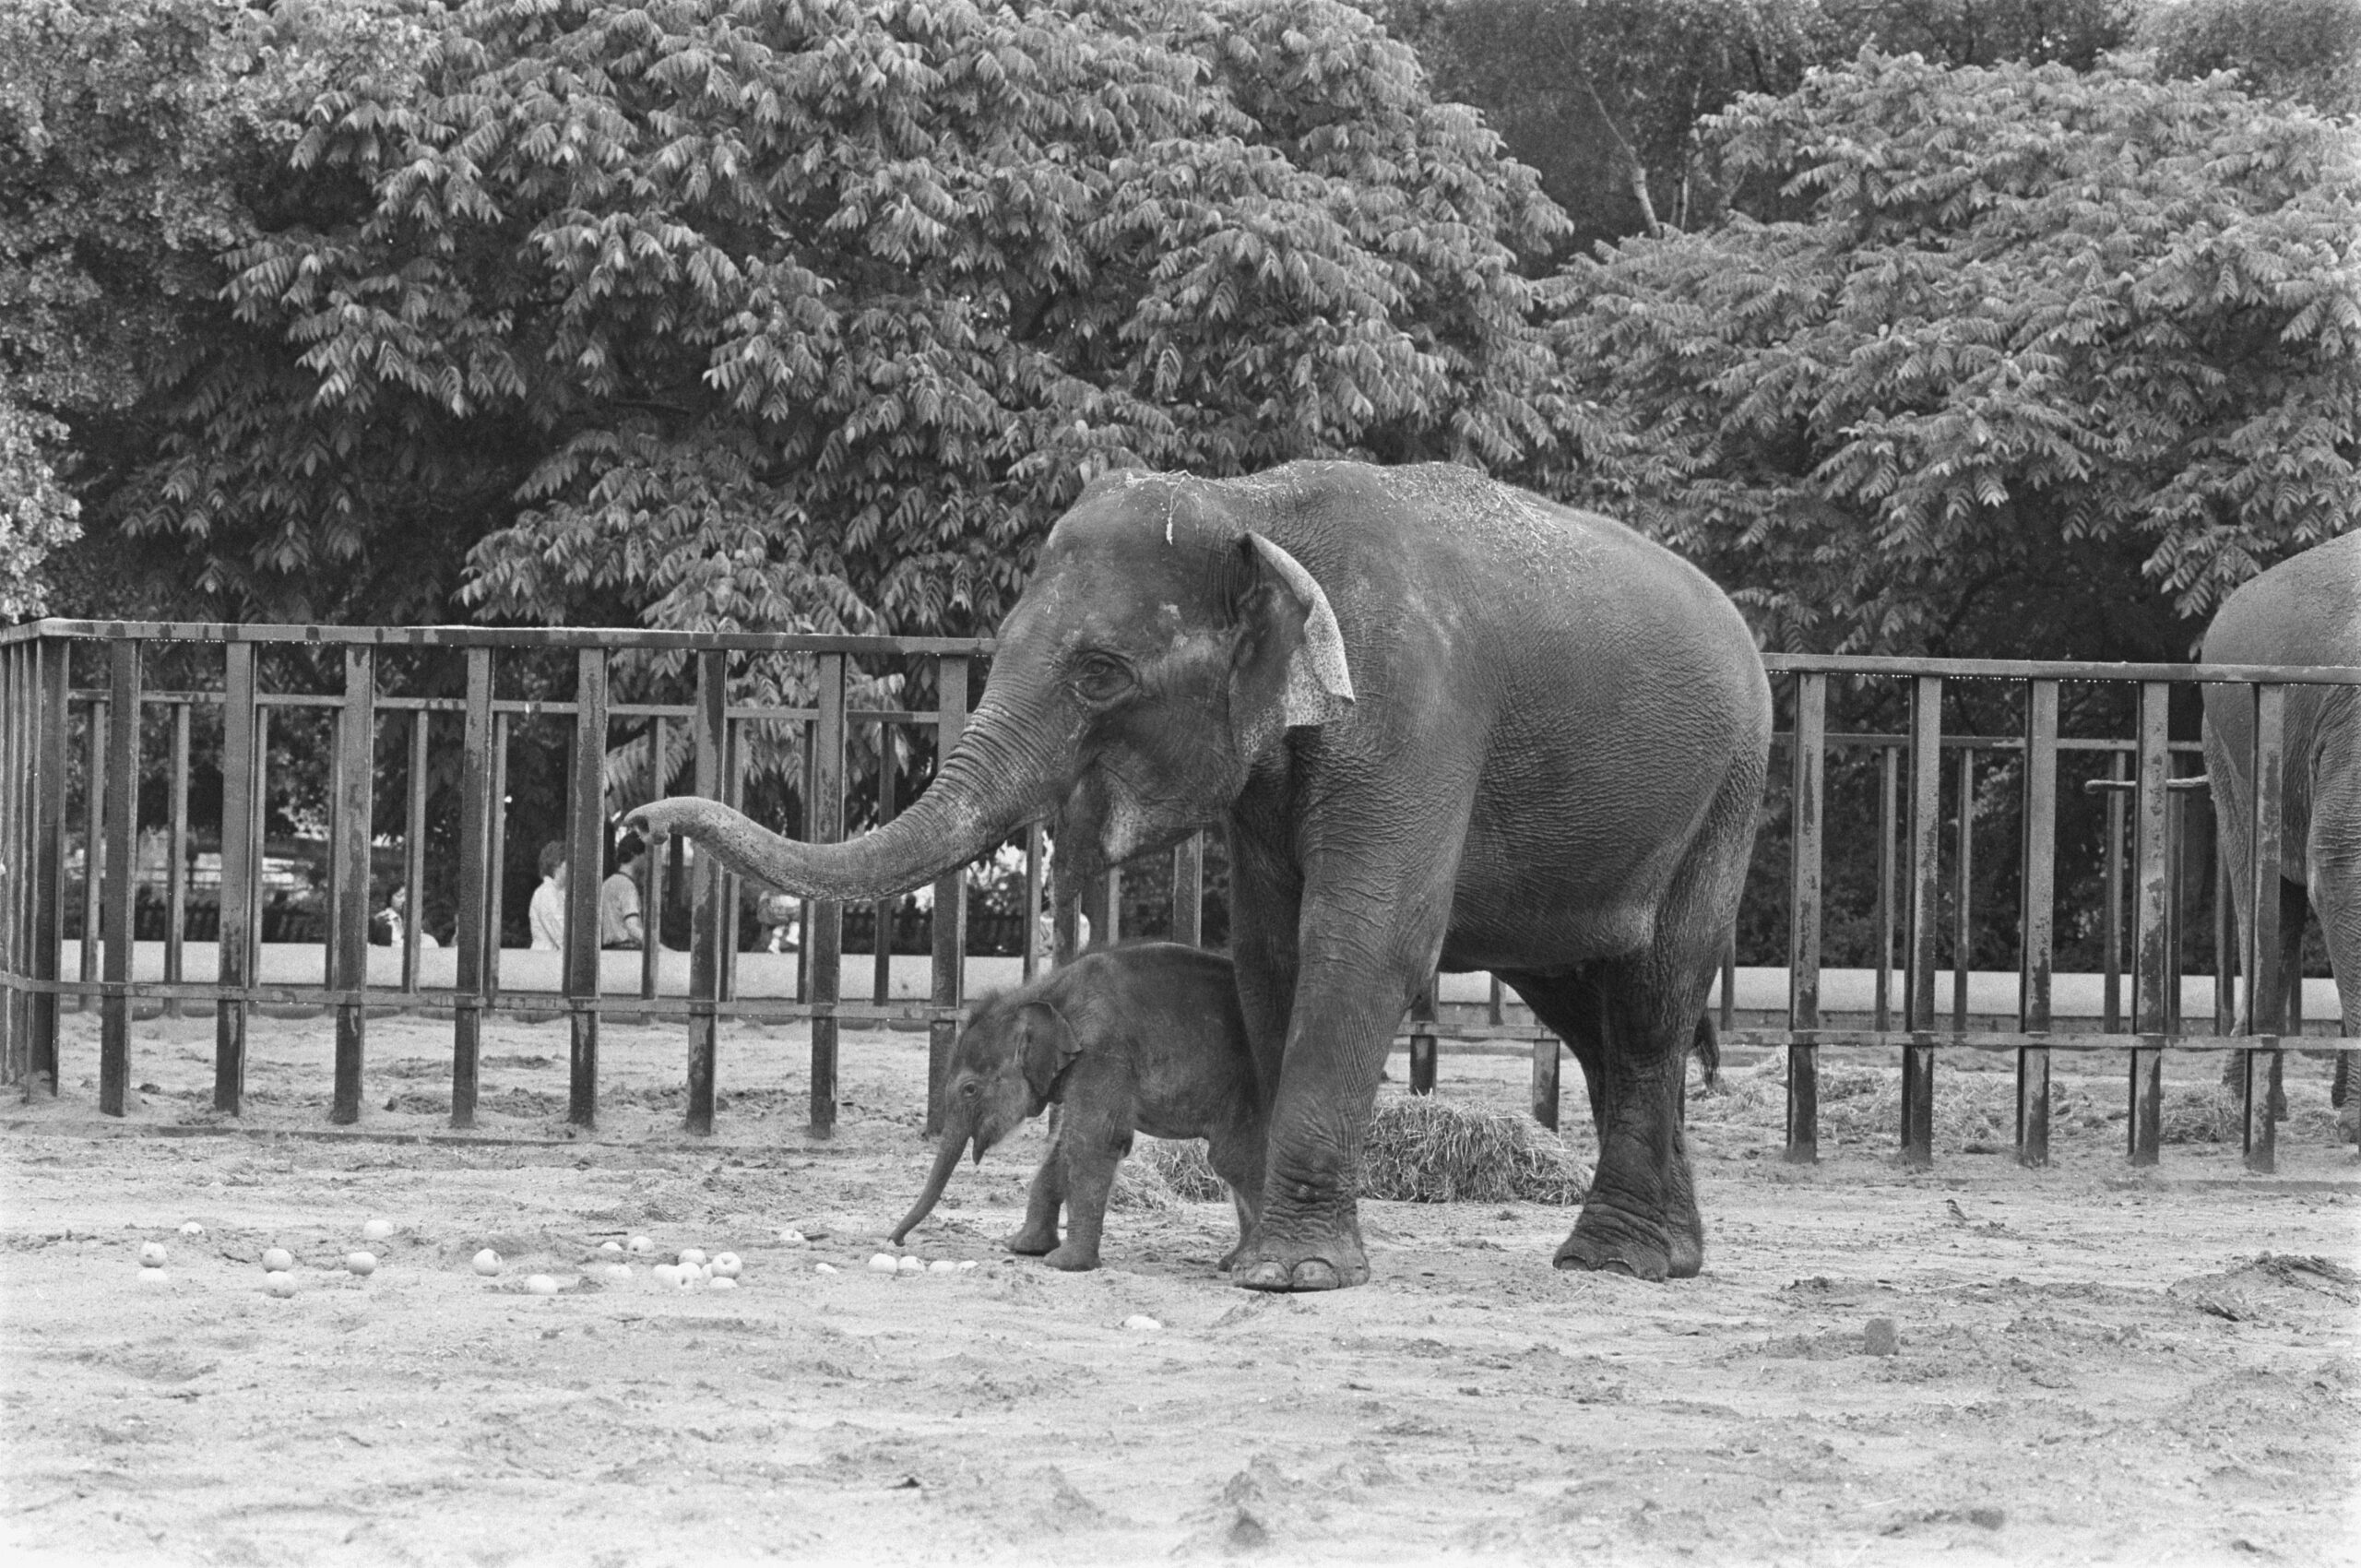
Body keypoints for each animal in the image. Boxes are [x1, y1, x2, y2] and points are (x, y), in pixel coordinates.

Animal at [887, 934, 1265, 1265]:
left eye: (970, 1089)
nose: (896, 1241)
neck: (1048, 992)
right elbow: (1063, 1145)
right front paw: (1024, 1247)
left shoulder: (1103, 1051)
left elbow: (1093, 1141)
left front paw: (1065, 1263)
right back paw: (1232, 1262)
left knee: (1232, 1157)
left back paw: (1251, 1264)